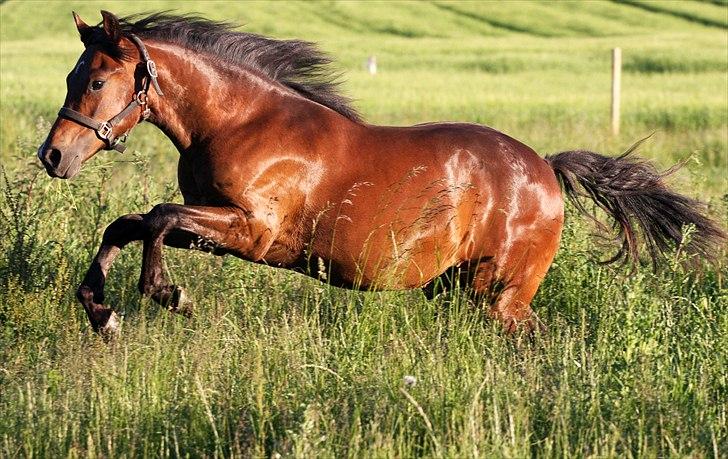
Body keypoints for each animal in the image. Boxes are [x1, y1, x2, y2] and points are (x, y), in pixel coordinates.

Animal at [38, 9, 724, 336]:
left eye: (96, 81)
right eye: (71, 76)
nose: (53, 156)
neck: (238, 120)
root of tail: (548, 171)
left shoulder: (252, 231)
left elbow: (154, 218)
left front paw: (165, 294)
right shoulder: (217, 228)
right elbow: (126, 225)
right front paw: (100, 311)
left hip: (503, 296)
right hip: (462, 290)